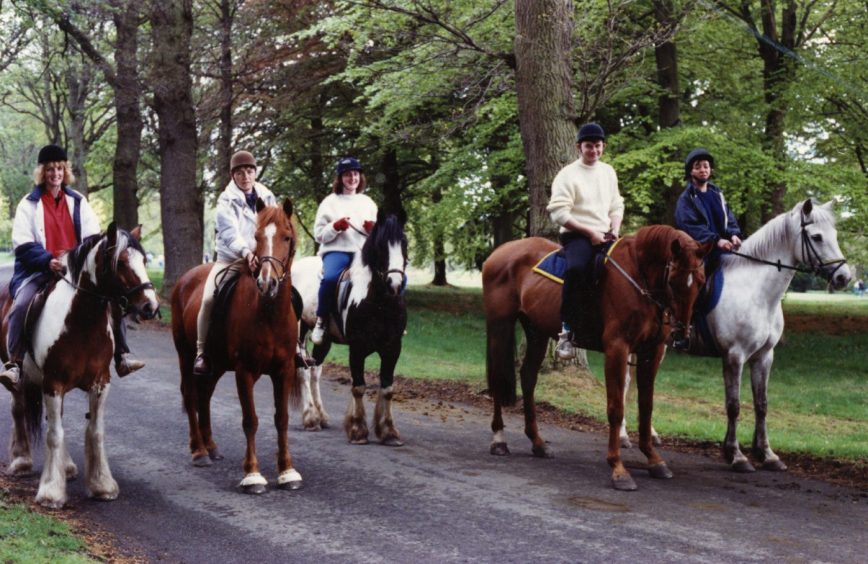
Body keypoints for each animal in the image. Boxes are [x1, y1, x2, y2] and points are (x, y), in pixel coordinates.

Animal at [0, 224, 159, 506]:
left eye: (143, 260)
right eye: (120, 263)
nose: (150, 306)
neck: (81, 323)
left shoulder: (100, 383)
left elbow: (94, 431)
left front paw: (102, 486)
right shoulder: (53, 384)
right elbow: (54, 434)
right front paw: (51, 492)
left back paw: (67, 467)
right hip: (20, 379)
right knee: (18, 409)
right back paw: (21, 461)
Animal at [171, 198, 304, 494]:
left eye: (286, 237)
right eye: (257, 236)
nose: (267, 283)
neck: (268, 312)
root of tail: (185, 278)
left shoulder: (285, 370)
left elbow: (282, 419)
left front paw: (287, 471)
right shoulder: (245, 372)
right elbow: (250, 420)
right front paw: (253, 475)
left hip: (217, 364)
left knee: (205, 395)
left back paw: (210, 446)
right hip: (185, 354)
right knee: (190, 394)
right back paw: (199, 451)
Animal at [294, 215, 408, 446]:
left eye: (405, 244)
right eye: (381, 246)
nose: (394, 284)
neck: (378, 301)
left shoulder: (392, 348)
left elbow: (388, 388)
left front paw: (389, 431)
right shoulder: (357, 348)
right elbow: (358, 387)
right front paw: (358, 430)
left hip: (324, 342)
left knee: (315, 371)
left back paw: (321, 416)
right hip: (299, 332)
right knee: (302, 369)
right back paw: (310, 418)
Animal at [482, 225, 712, 490]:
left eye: (701, 281)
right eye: (673, 280)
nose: (682, 336)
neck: (639, 277)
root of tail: (500, 251)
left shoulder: (650, 353)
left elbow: (646, 407)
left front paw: (654, 460)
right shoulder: (617, 349)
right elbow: (615, 408)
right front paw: (618, 468)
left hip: (536, 331)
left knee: (528, 377)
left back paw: (537, 443)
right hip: (500, 325)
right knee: (498, 378)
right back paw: (499, 440)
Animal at [620, 199, 852, 472]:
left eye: (834, 234)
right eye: (816, 237)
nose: (844, 277)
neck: (757, 292)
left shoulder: (764, 357)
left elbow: (762, 405)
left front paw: (767, 454)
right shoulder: (734, 356)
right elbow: (734, 406)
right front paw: (736, 455)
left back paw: (650, 434)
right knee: (626, 382)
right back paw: (622, 436)